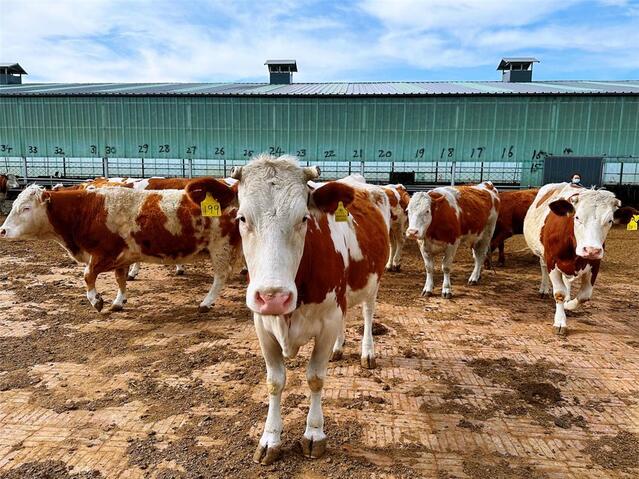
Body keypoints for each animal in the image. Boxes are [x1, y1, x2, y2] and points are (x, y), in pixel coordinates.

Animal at [0, 179, 240, 312]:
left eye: (26, 208)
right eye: (15, 205)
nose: (2, 230)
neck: (88, 210)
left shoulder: (105, 254)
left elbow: (87, 275)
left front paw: (96, 300)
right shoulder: (123, 256)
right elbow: (120, 279)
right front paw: (118, 301)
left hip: (220, 247)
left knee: (220, 276)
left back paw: (206, 303)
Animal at [228, 156, 392, 466]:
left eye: (303, 218)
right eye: (242, 218)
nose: (274, 298)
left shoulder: (328, 321)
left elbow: (315, 378)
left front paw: (314, 434)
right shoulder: (262, 325)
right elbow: (275, 382)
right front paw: (270, 439)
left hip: (373, 282)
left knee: (367, 313)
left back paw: (368, 352)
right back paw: (339, 349)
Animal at [524, 182, 636, 336]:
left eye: (610, 220)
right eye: (577, 217)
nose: (591, 250)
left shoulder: (595, 264)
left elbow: (584, 295)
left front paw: (568, 305)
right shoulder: (552, 260)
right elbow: (559, 293)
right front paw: (560, 321)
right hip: (542, 253)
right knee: (543, 268)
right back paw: (544, 289)